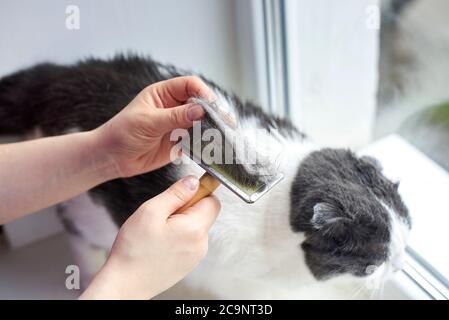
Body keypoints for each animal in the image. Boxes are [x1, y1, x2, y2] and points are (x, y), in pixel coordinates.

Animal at [0, 55, 410, 300]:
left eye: (407, 236)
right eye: (375, 257)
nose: (399, 265)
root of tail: (67, 77)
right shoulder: (246, 282)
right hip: (92, 208)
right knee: (76, 231)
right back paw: (85, 272)